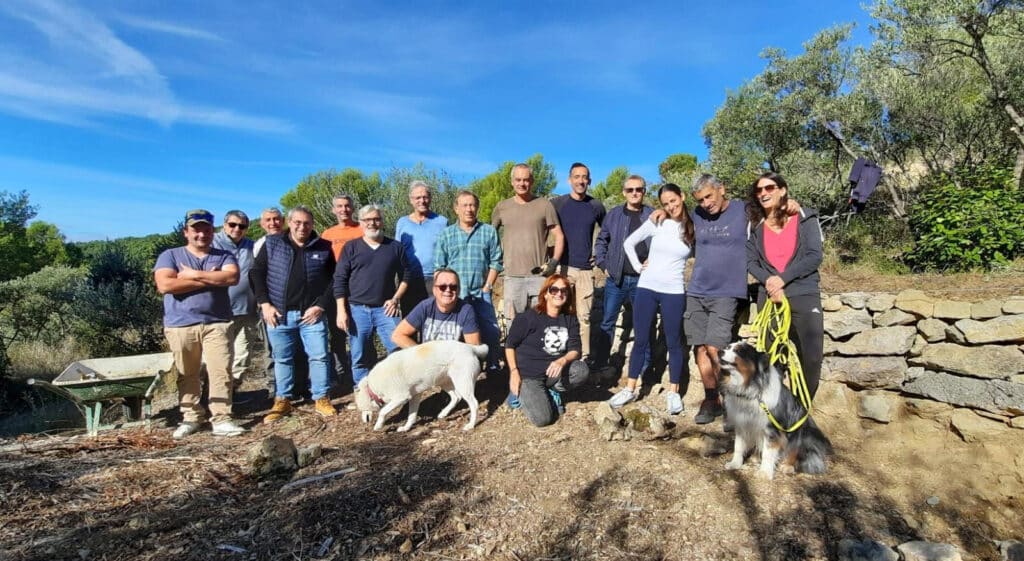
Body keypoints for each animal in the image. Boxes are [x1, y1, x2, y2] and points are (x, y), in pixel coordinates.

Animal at [352, 339, 487, 432]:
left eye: (361, 410)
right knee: (456, 397)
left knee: (474, 404)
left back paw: (470, 425)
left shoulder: (401, 398)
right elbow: (411, 416)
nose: (364, 422)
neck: (372, 388)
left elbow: (383, 412)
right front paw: (406, 428)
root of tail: (469, 347)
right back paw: (443, 413)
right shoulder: (415, 397)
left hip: (463, 384)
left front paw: (378, 426)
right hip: (445, 383)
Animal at [720, 339, 831, 479]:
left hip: (804, 432)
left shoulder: (772, 429)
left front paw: (764, 473)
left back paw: (787, 466)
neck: (750, 387)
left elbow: (768, 452)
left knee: (795, 451)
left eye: (739, 351)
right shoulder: (742, 423)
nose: (719, 351)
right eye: (727, 347)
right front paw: (735, 464)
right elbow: (738, 446)